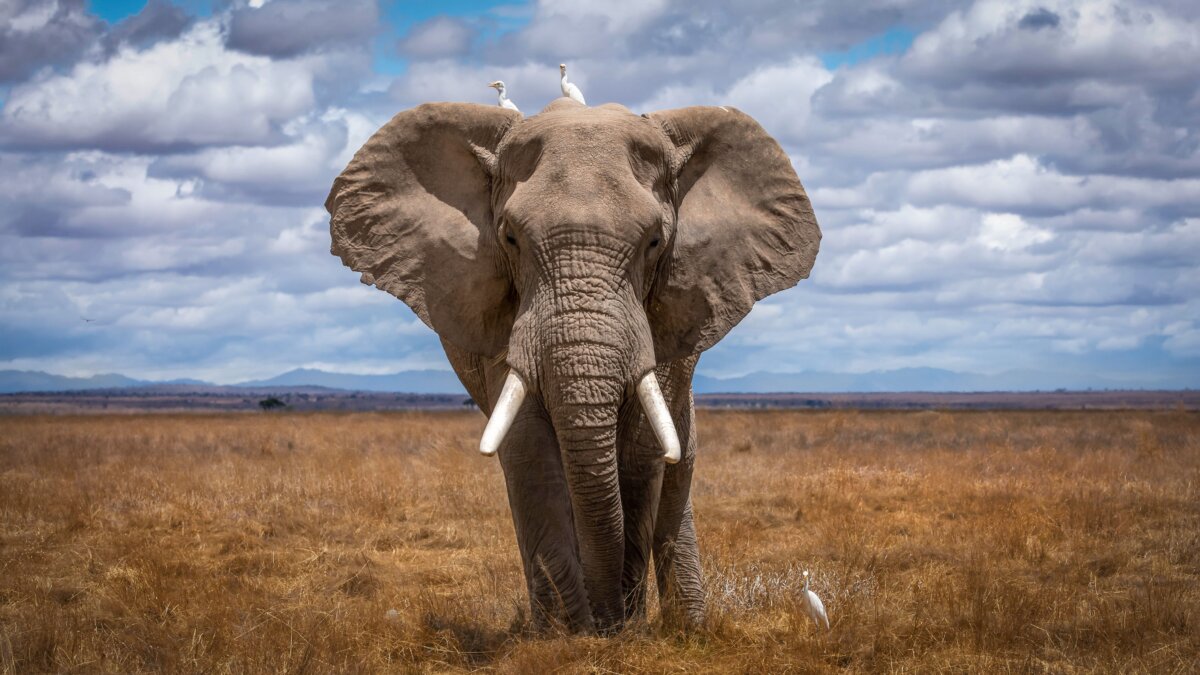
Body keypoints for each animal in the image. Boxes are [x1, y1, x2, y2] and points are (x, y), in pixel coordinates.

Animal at [325, 97, 820, 633]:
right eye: (510, 238)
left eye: (654, 242)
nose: (608, 623)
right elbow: (529, 449)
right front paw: (569, 636)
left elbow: (642, 453)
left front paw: (621, 630)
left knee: (677, 469)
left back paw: (689, 627)